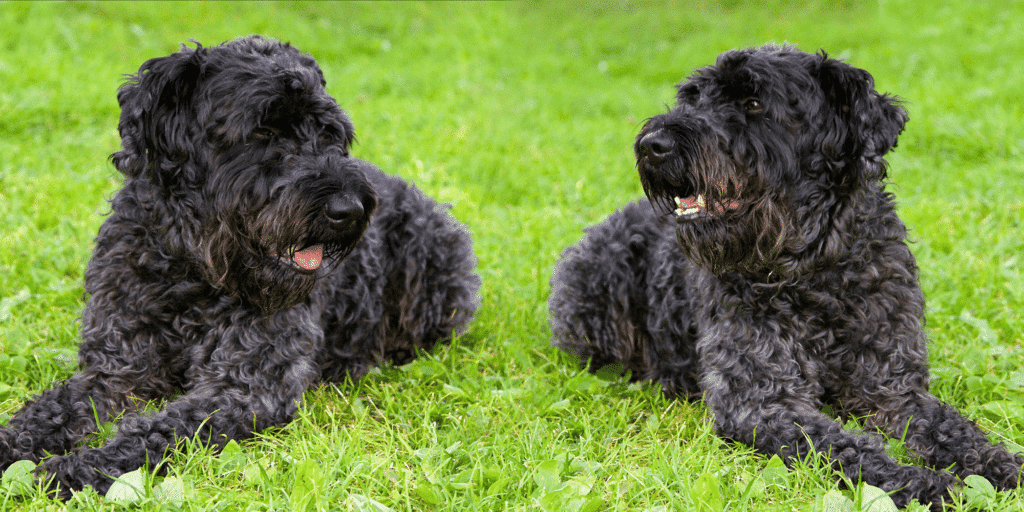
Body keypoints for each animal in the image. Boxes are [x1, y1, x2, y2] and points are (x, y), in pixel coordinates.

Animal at [0, 35, 481, 495]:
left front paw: (75, 469)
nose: (348, 209)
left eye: (331, 132)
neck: (191, 272)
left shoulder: (246, 387)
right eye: (263, 130)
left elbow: (157, 432)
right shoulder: (115, 371)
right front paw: (14, 445)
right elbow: (54, 410)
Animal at [552, 46, 1024, 509]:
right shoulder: (763, 402)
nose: (654, 145)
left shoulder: (893, 388)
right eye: (692, 98)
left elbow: (949, 425)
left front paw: (996, 462)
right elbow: (848, 448)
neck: (814, 271)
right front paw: (924, 483)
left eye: (753, 103)